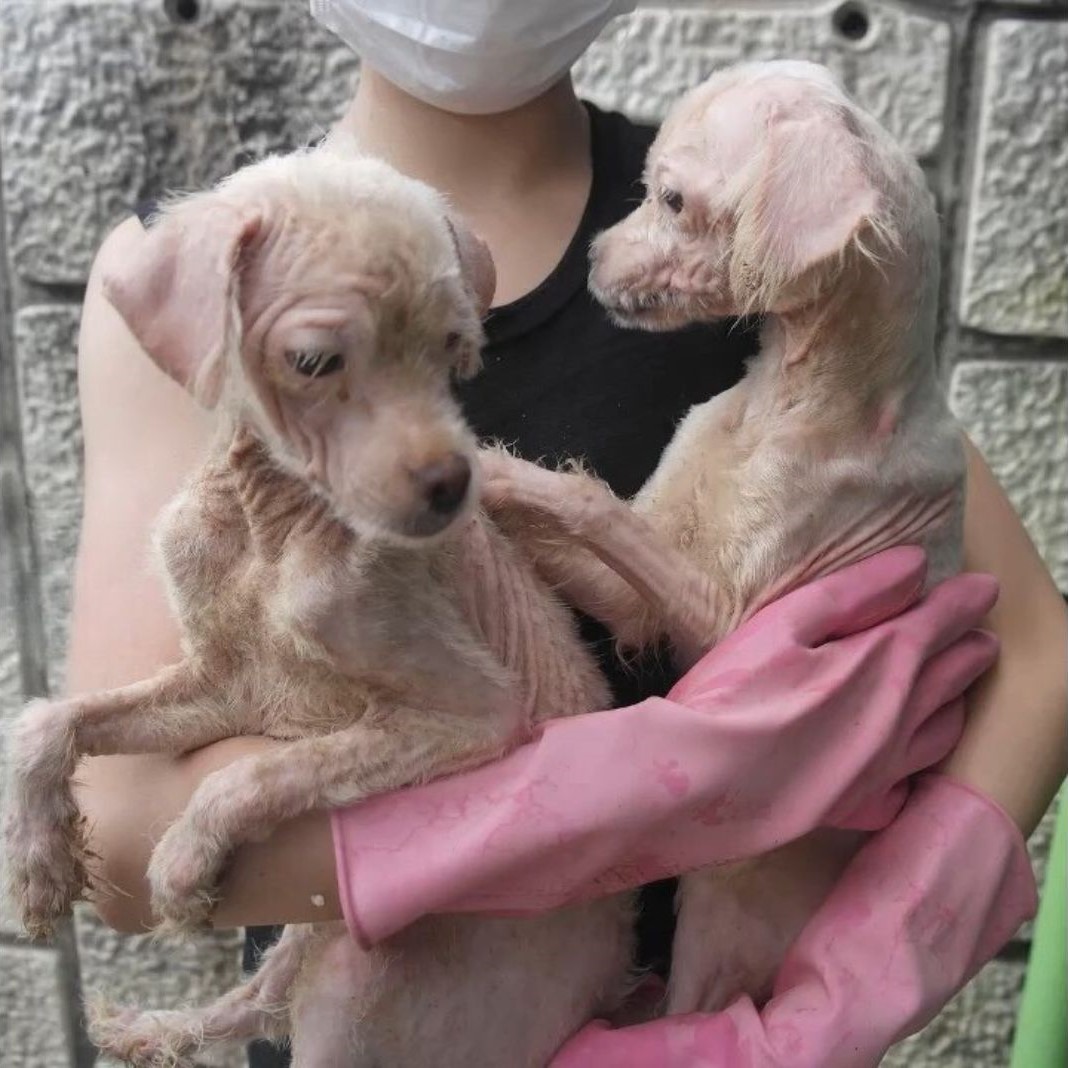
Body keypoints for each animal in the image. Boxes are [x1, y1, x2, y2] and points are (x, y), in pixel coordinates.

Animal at [2, 146, 632, 1063]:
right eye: (311, 362)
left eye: (452, 351)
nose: (457, 488)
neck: (275, 521)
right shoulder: (227, 686)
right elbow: (49, 718)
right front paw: (38, 863)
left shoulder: (475, 714)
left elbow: (258, 771)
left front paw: (181, 860)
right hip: (316, 943)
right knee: (262, 995)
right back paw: (153, 1029)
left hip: (354, 986)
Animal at [484, 62, 969, 1012]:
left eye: (672, 199)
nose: (589, 259)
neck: (788, 402)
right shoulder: (640, 605)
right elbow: (587, 524)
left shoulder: (732, 626)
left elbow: (590, 502)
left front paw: (490, 475)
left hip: (720, 923)